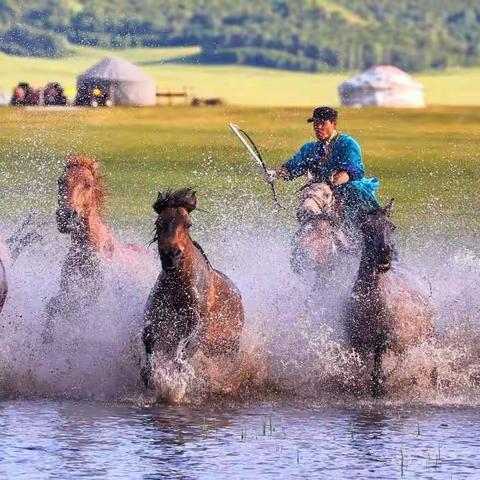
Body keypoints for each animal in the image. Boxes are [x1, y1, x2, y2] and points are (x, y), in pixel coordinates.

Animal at [140, 189, 244, 388]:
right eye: (159, 223)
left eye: (188, 224)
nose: (171, 255)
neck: (178, 288)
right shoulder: (155, 318)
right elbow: (149, 340)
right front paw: (151, 376)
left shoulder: (199, 325)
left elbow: (183, 355)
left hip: (229, 347)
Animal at [344, 202, 434, 398]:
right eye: (366, 227)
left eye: (392, 226)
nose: (385, 253)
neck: (372, 302)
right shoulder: (355, 340)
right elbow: (359, 364)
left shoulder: (383, 338)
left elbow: (378, 365)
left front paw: (379, 388)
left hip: (421, 338)